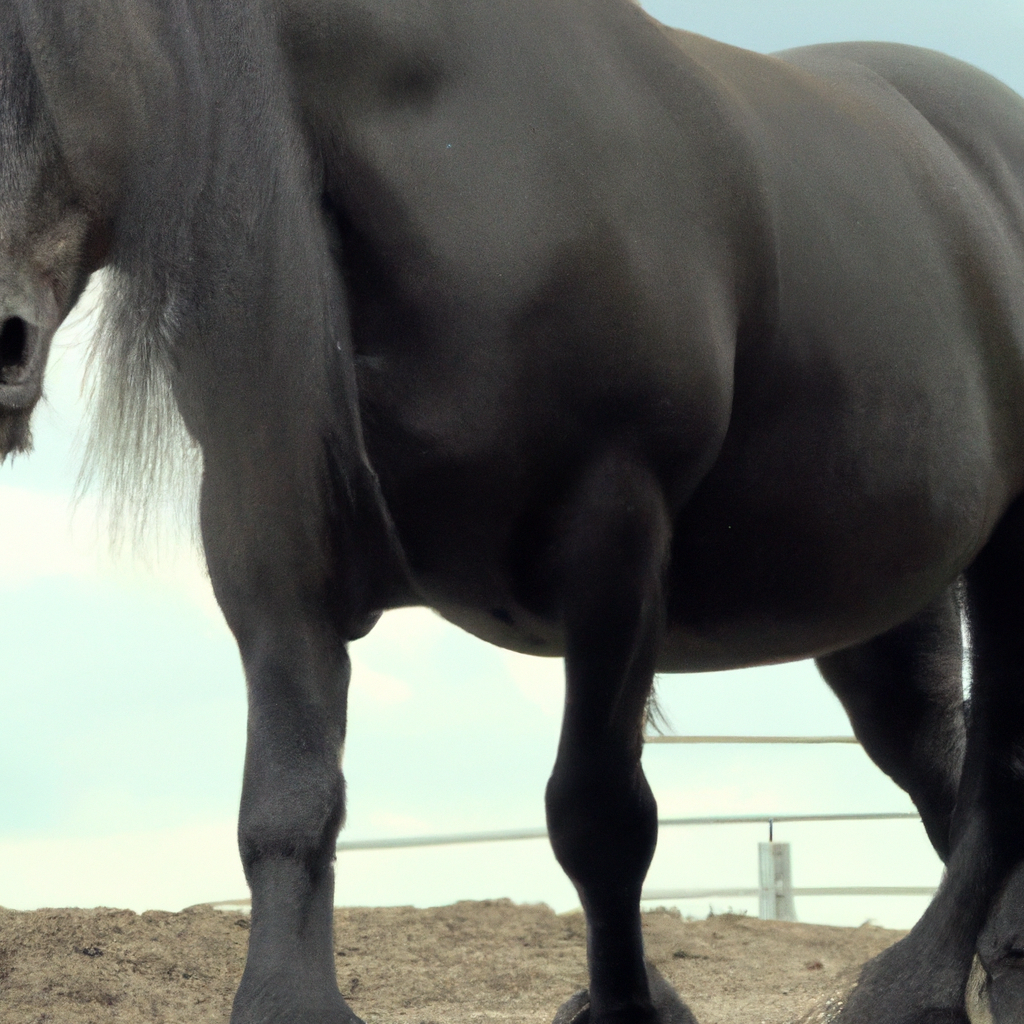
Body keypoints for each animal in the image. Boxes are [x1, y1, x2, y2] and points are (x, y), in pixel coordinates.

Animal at [2, 2, 1024, 1024]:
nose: (2, 339)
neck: (459, 156)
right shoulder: (270, 541)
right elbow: (288, 801)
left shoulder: (612, 531)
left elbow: (599, 817)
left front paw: (628, 1007)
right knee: (934, 748)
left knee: (993, 775)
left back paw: (913, 987)